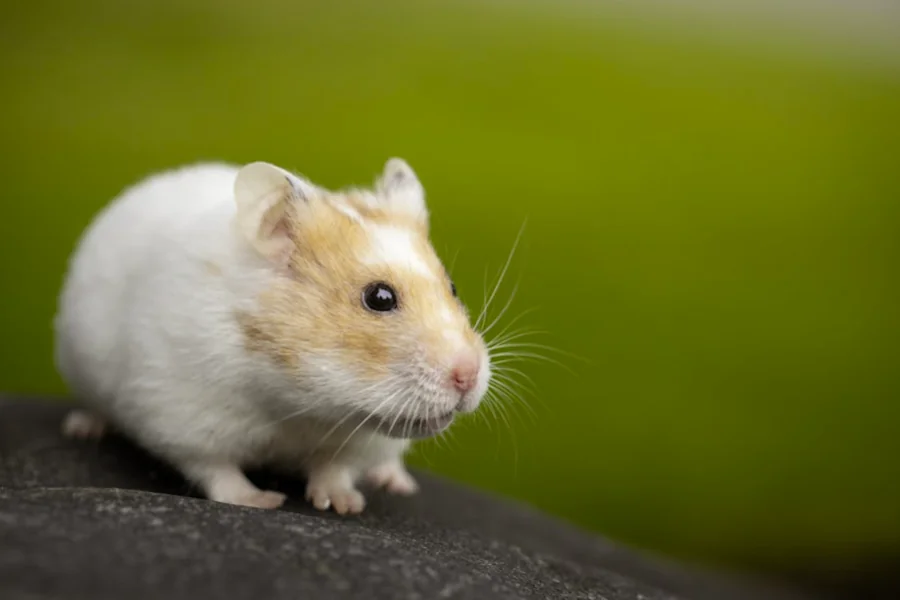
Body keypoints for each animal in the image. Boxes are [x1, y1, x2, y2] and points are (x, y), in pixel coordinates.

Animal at [53, 158, 492, 514]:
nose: (468, 376)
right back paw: (83, 427)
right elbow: (216, 469)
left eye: (453, 288)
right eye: (379, 297)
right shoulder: (181, 414)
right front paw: (262, 501)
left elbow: (335, 468)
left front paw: (344, 505)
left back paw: (396, 481)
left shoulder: (358, 441)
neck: (301, 404)